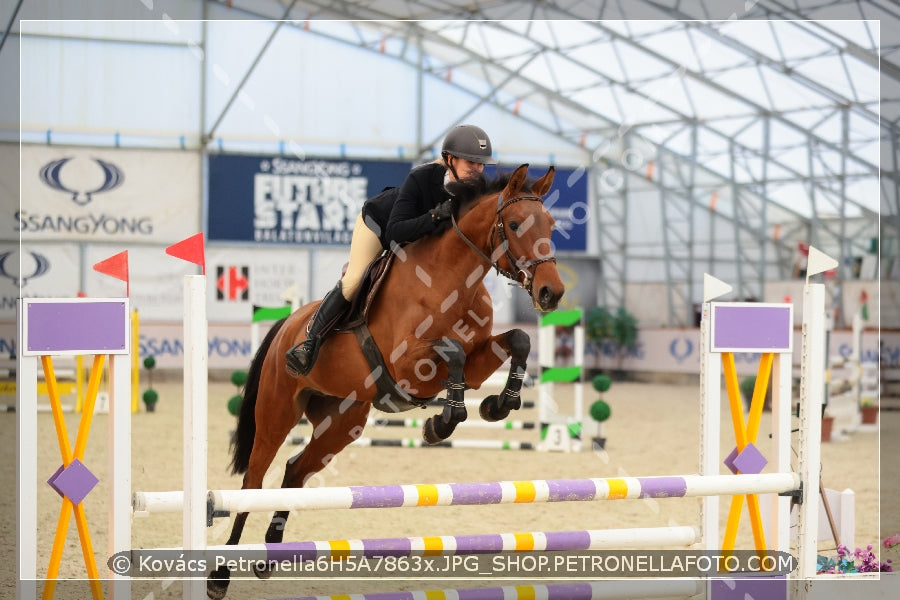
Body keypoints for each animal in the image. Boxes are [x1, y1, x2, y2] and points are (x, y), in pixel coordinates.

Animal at [207, 164, 568, 600]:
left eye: (551, 224)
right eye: (514, 224)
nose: (551, 292)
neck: (452, 279)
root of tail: (288, 325)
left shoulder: (477, 359)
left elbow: (518, 340)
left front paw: (496, 405)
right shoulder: (408, 363)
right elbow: (452, 352)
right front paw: (442, 422)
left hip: (342, 423)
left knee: (295, 470)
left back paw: (269, 556)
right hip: (277, 412)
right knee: (253, 481)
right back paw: (220, 574)